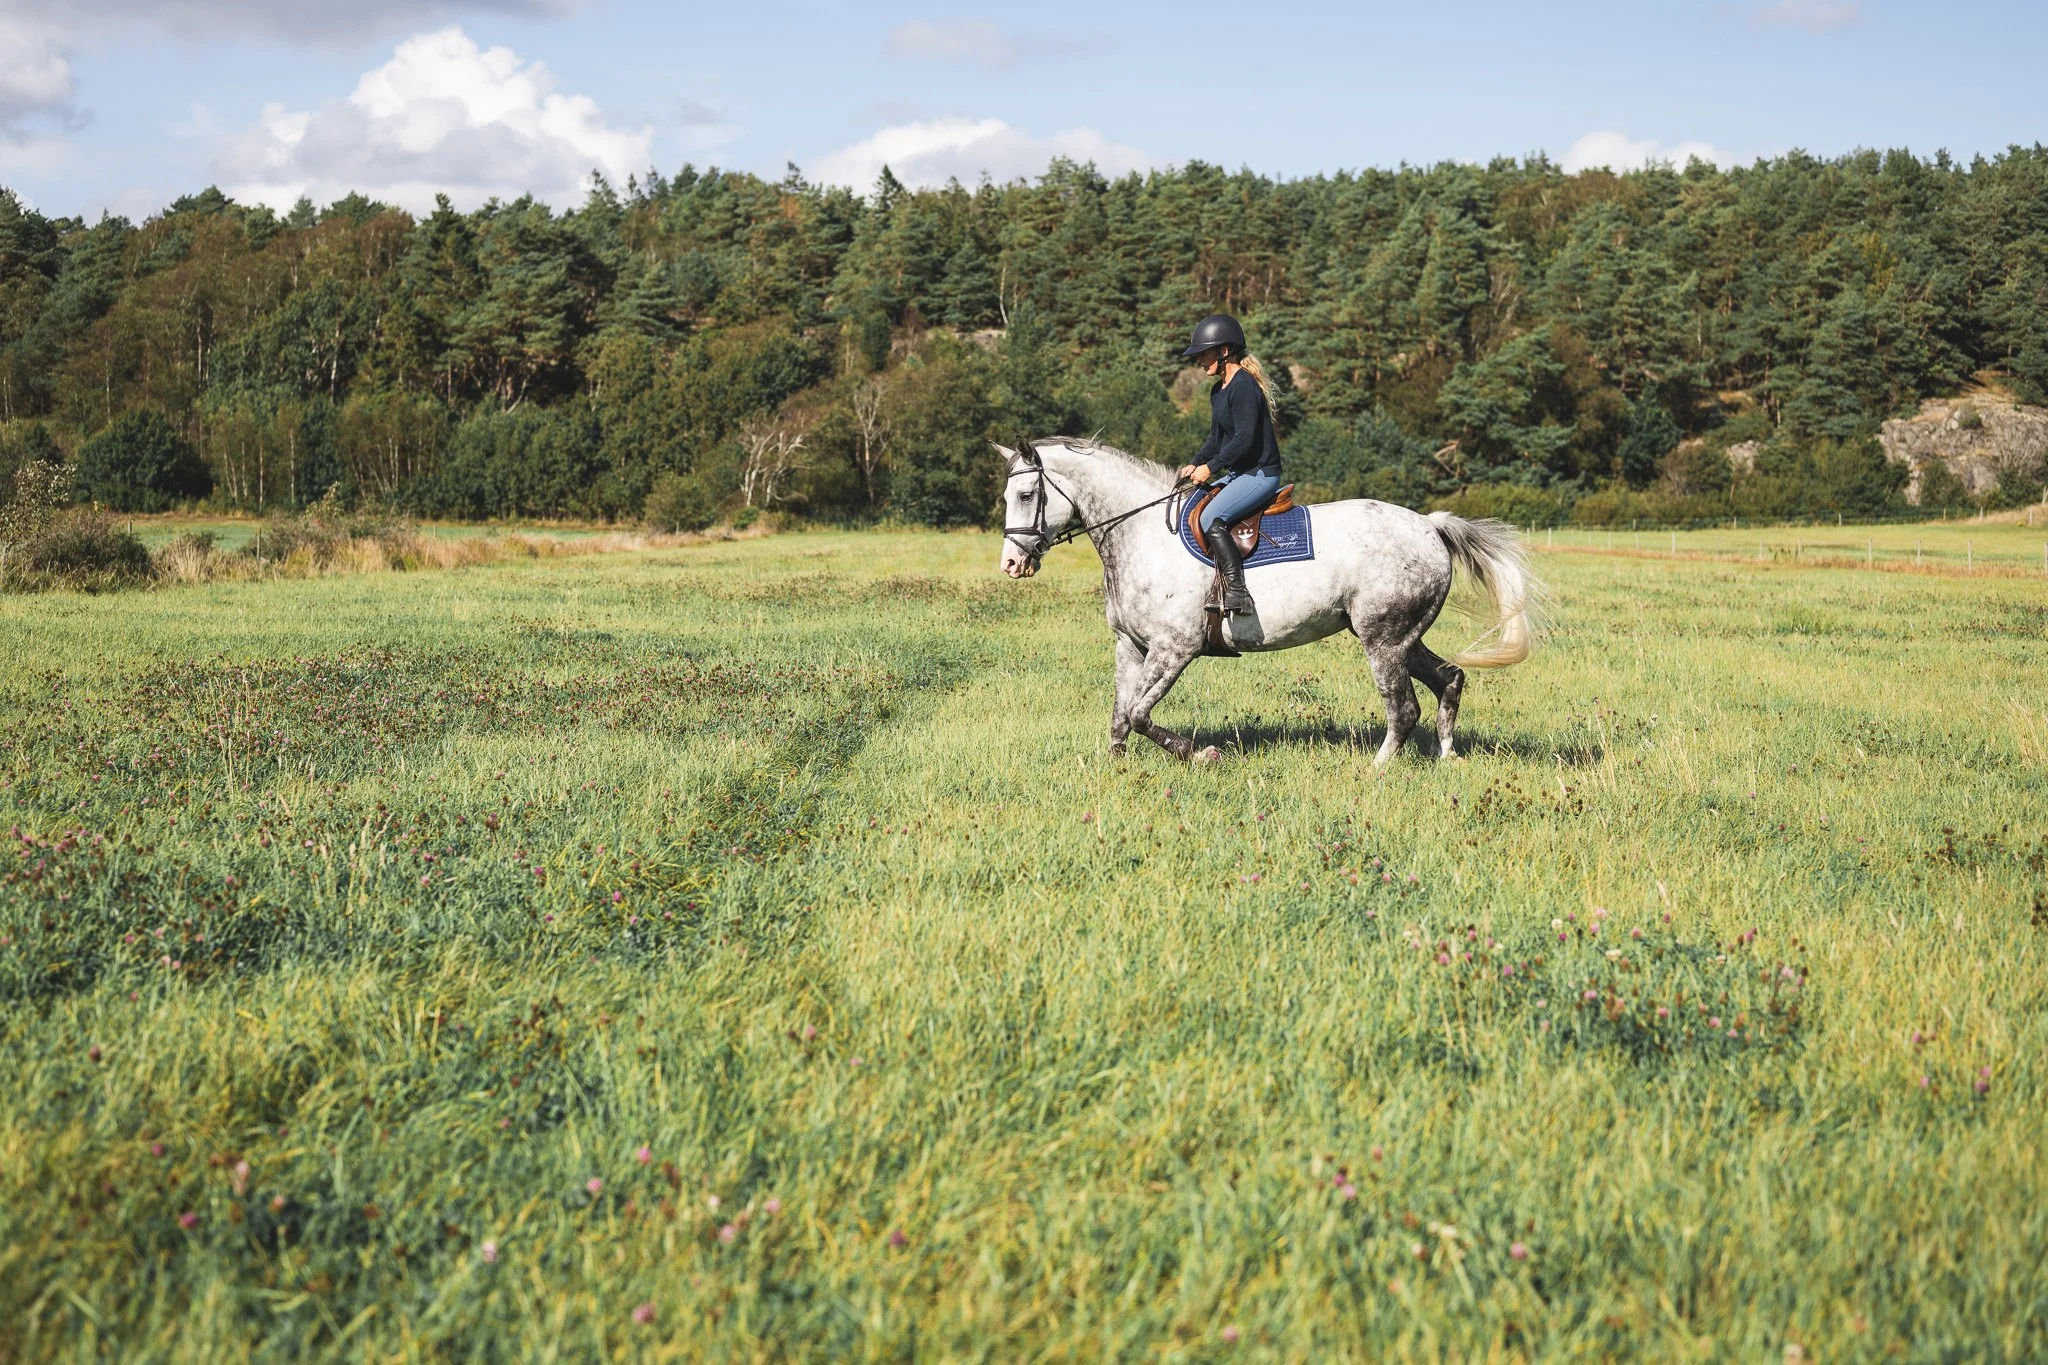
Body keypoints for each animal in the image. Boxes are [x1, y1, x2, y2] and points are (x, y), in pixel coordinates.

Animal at [994, 438, 1542, 765]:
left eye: (1025, 495)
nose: (1012, 564)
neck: (1143, 533)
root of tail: (1430, 525)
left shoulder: (1175, 648)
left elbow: (1139, 714)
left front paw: (1200, 754)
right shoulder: (1131, 646)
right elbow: (1119, 715)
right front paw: (1115, 768)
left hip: (1382, 639)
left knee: (1404, 707)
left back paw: (1376, 770)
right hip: (1403, 636)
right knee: (1449, 678)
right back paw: (1448, 756)